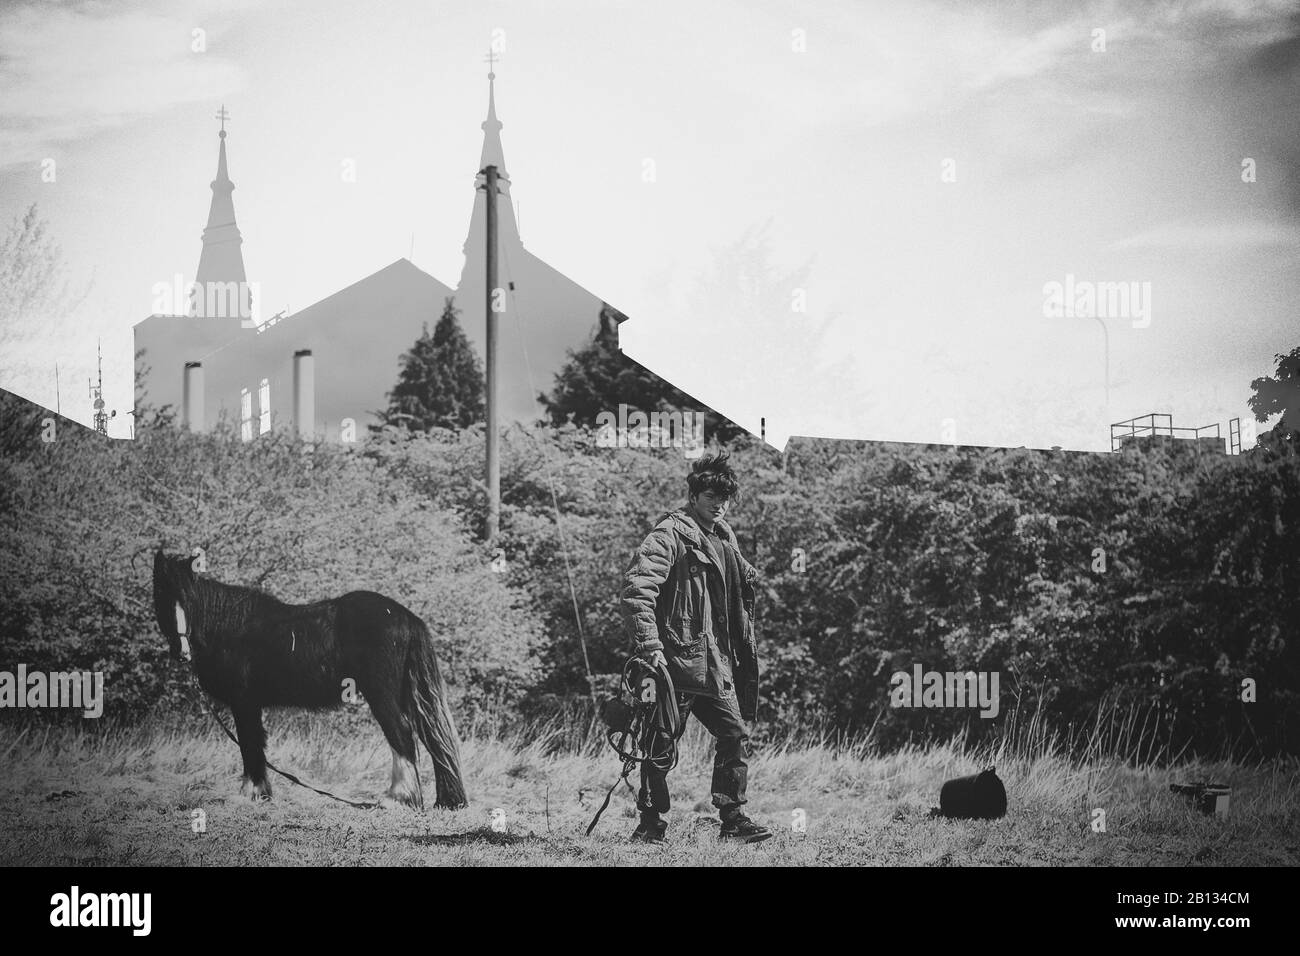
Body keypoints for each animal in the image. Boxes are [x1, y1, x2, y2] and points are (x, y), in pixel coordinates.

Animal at [153, 548, 467, 811]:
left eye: (188, 599)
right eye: (162, 598)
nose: (181, 653)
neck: (231, 627)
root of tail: (407, 617)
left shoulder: (243, 703)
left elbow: (249, 745)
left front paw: (250, 793)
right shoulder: (251, 705)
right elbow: (256, 745)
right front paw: (261, 793)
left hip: (382, 694)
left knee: (401, 734)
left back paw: (397, 798)